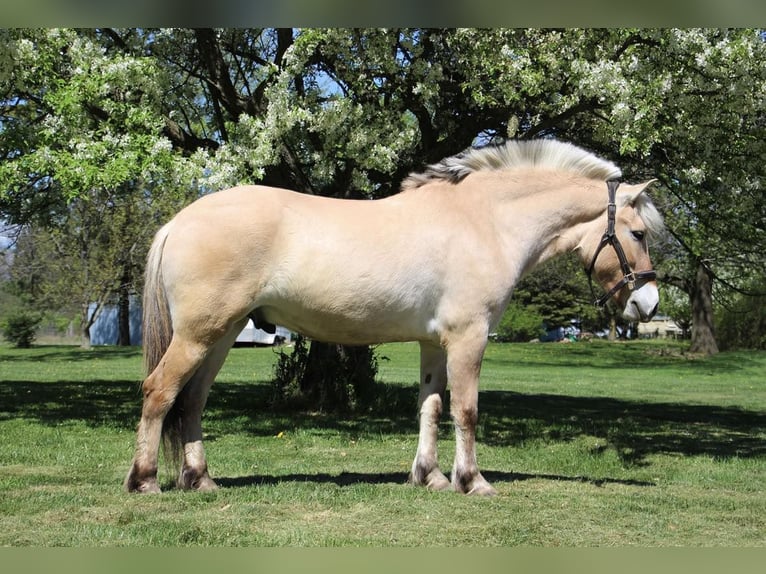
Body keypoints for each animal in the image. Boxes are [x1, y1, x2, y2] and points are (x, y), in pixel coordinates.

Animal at [126, 138, 664, 496]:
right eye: (637, 233)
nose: (649, 305)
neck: (485, 221)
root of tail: (178, 222)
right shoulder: (469, 338)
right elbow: (466, 410)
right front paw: (473, 481)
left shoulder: (434, 344)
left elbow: (431, 407)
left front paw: (431, 476)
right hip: (199, 335)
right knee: (160, 392)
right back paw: (146, 481)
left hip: (221, 335)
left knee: (192, 401)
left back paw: (201, 480)